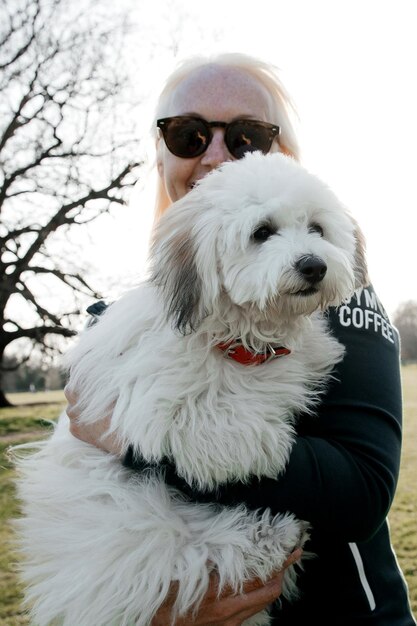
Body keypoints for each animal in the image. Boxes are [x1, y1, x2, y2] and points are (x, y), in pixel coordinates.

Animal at [13, 152, 368, 624]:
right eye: (262, 232)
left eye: (317, 228)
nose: (314, 265)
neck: (240, 340)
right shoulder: (151, 407)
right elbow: (216, 423)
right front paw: (270, 444)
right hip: (139, 527)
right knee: (200, 552)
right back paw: (268, 537)